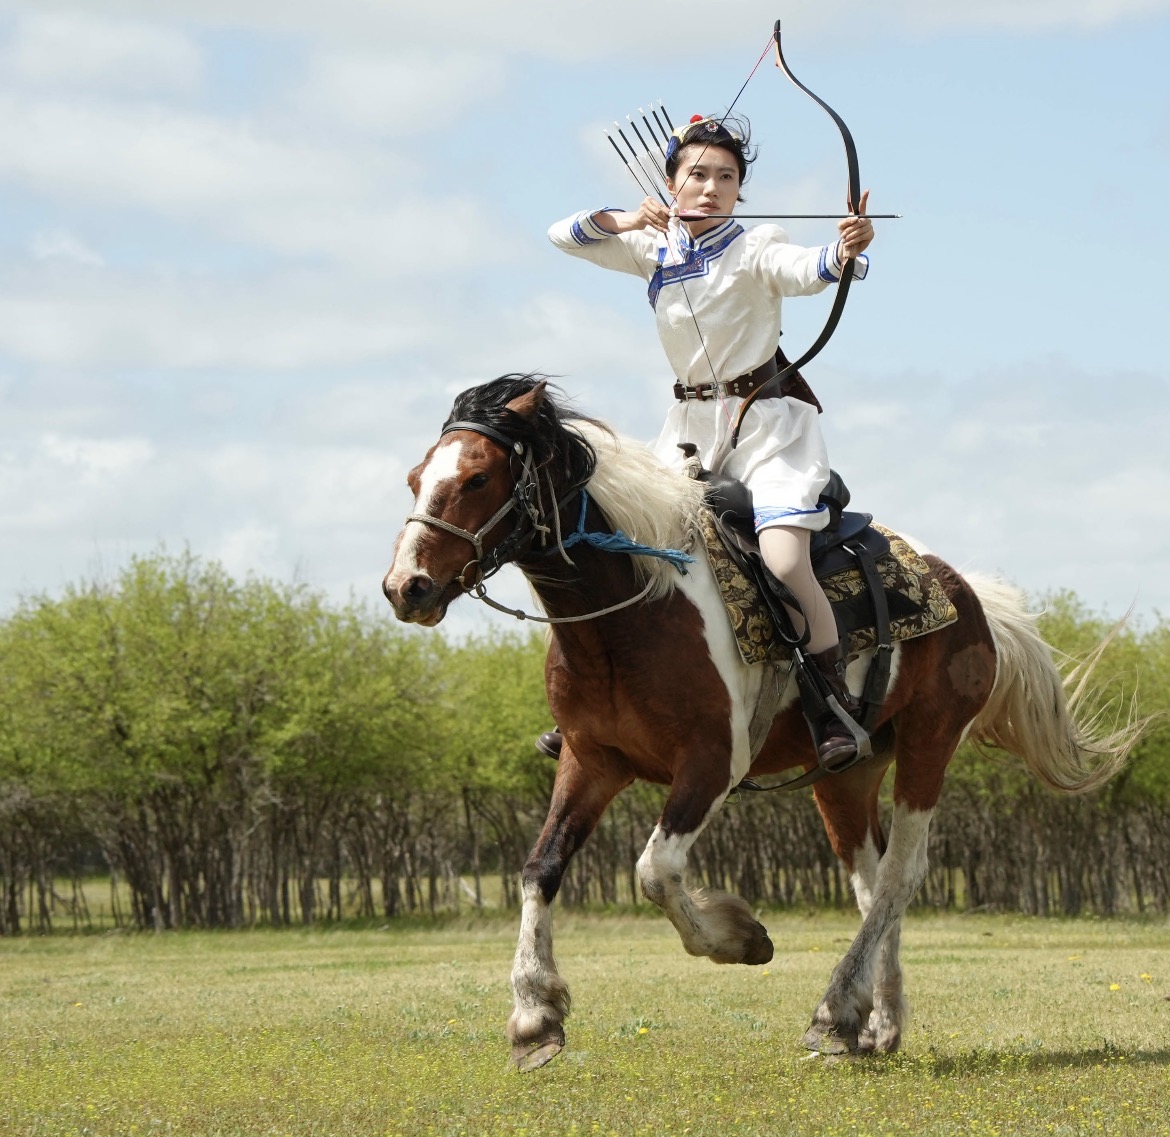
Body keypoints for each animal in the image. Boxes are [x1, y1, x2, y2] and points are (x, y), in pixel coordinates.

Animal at [382, 373, 1142, 1071]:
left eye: (477, 477)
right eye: (417, 478)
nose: (405, 587)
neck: (634, 607)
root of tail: (966, 591)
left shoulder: (711, 763)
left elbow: (656, 869)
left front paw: (741, 938)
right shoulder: (590, 760)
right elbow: (540, 867)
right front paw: (535, 1015)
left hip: (930, 742)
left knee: (901, 873)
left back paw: (833, 1013)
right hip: (846, 773)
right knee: (871, 879)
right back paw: (874, 1020)